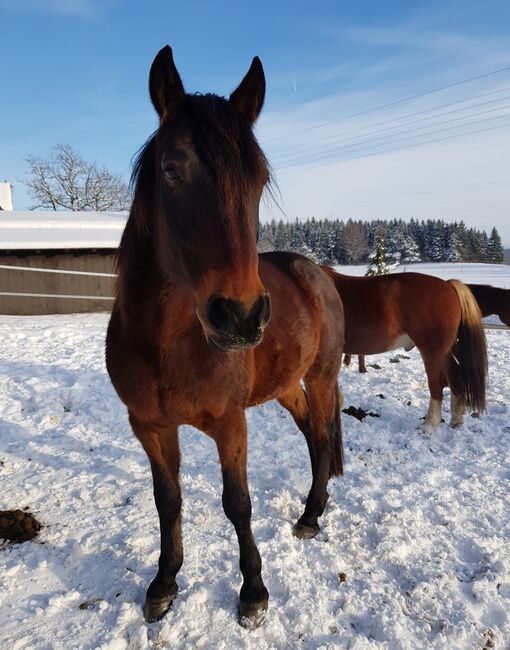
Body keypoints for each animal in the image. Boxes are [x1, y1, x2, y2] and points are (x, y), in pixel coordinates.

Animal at [106, 46, 346, 628]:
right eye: (172, 171)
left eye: (259, 180)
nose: (240, 315)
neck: (166, 344)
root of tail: (318, 272)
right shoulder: (149, 426)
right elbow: (167, 500)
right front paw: (164, 582)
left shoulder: (230, 424)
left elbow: (237, 504)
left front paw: (253, 592)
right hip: (284, 387)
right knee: (312, 434)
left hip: (320, 378)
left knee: (322, 435)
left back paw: (310, 515)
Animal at [320, 268, 488, 430]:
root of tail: (448, 285)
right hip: (444, 353)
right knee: (455, 379)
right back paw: (456, 420)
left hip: (432, 353)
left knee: (437, 385)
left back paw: (428, 425)